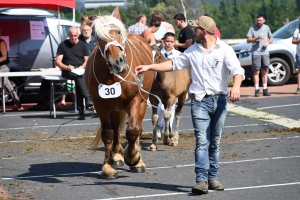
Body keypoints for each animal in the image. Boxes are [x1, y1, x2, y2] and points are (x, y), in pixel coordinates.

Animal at [84, 8, 155, 179]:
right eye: (99, 37)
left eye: (117, 31)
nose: (117, 63)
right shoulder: (100, 104)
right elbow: (108, 133)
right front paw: (108, 167)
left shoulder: (135, 100)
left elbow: (132, 131)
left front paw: (133, 157)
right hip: (115, 107)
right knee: (116, 129)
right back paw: (116, 156)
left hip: (142, 101)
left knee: (138, 127)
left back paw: (137, 159)